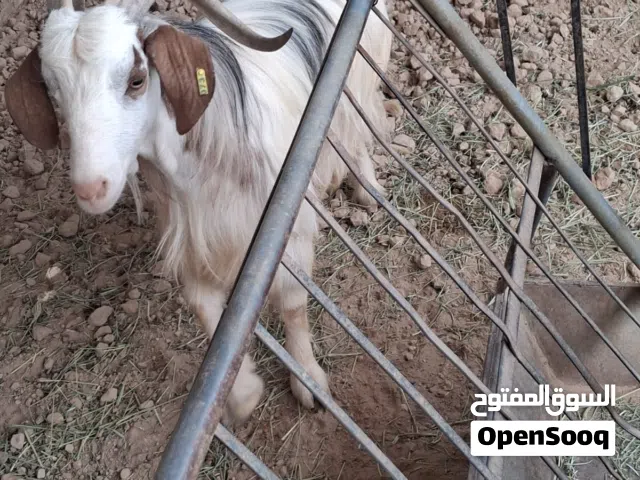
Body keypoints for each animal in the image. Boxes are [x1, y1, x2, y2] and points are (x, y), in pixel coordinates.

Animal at [5, 0, 393, 424]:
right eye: (54, 91)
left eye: (137, 79)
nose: (91, 189)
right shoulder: (195, 239)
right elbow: (205, 310)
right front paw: (241, 395)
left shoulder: (289, 229)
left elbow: (292, 304)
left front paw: (309, 382)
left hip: (360, 84)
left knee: (360, 132)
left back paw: (369, 190)